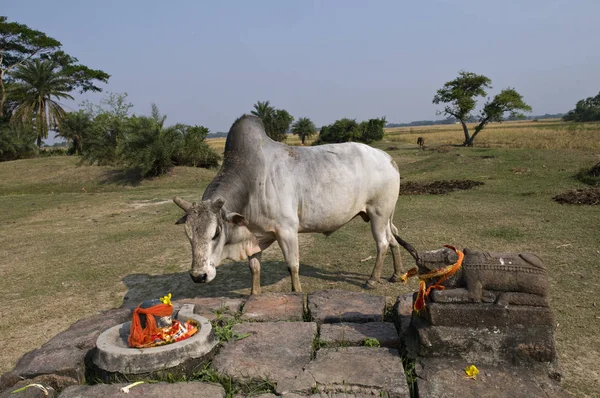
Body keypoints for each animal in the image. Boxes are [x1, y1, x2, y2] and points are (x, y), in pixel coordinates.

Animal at [171, 113, 410, 294]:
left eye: (216, 233)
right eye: (188, 235)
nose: (198, 276)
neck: (251, 181)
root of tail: (388, 158)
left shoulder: (287, 230)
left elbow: (293, 266)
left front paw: (296, 292)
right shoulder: (254, 234)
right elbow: (254, 268)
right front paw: (254, 295)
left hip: (378, 213)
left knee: (382, 243)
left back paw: (373, 279)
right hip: (383, 215)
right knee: (393, 238)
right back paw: (397, 274)